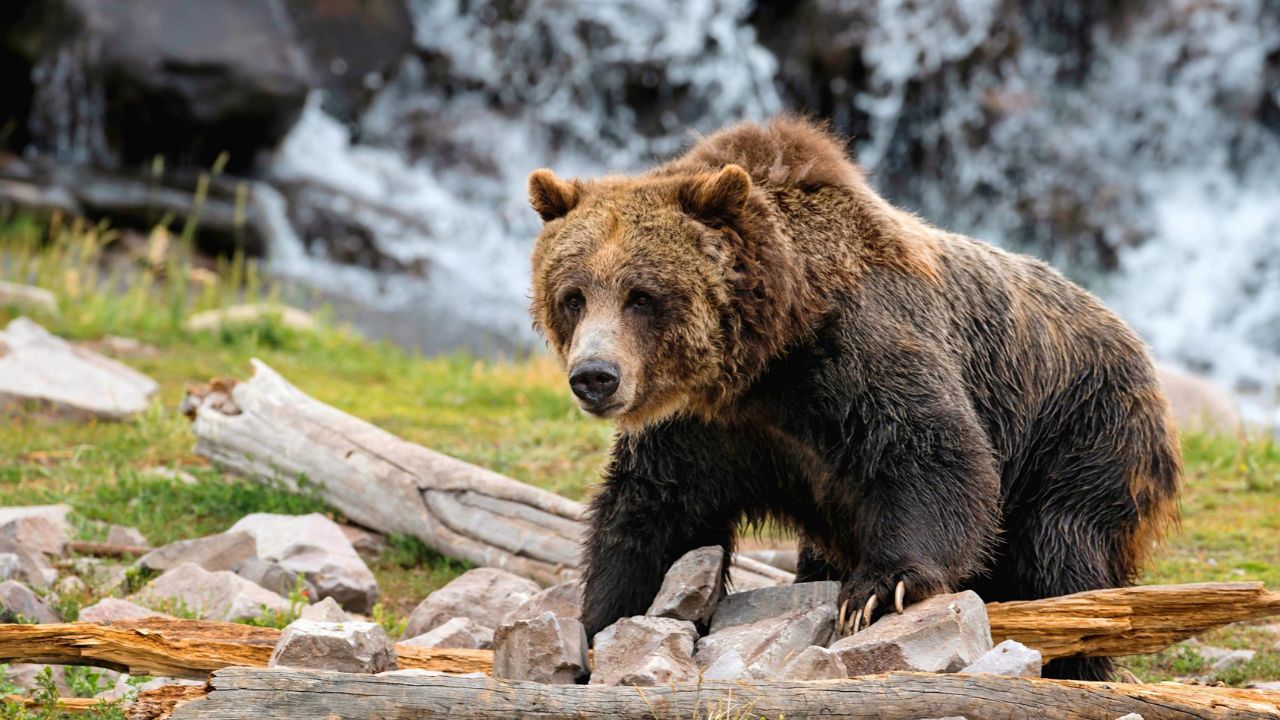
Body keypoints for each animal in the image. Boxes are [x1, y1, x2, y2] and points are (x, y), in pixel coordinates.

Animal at [525, 117, 1181, 681]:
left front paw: (877, 590)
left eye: (642, 295)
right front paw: (598, 624)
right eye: (573, 295)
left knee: (1062, 554)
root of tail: (1136, 344)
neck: (766, 359)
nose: (595, 376)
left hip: (1083, 433)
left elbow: (933, 453)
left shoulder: (858, 353)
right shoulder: (705, 430)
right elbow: (651, 515)